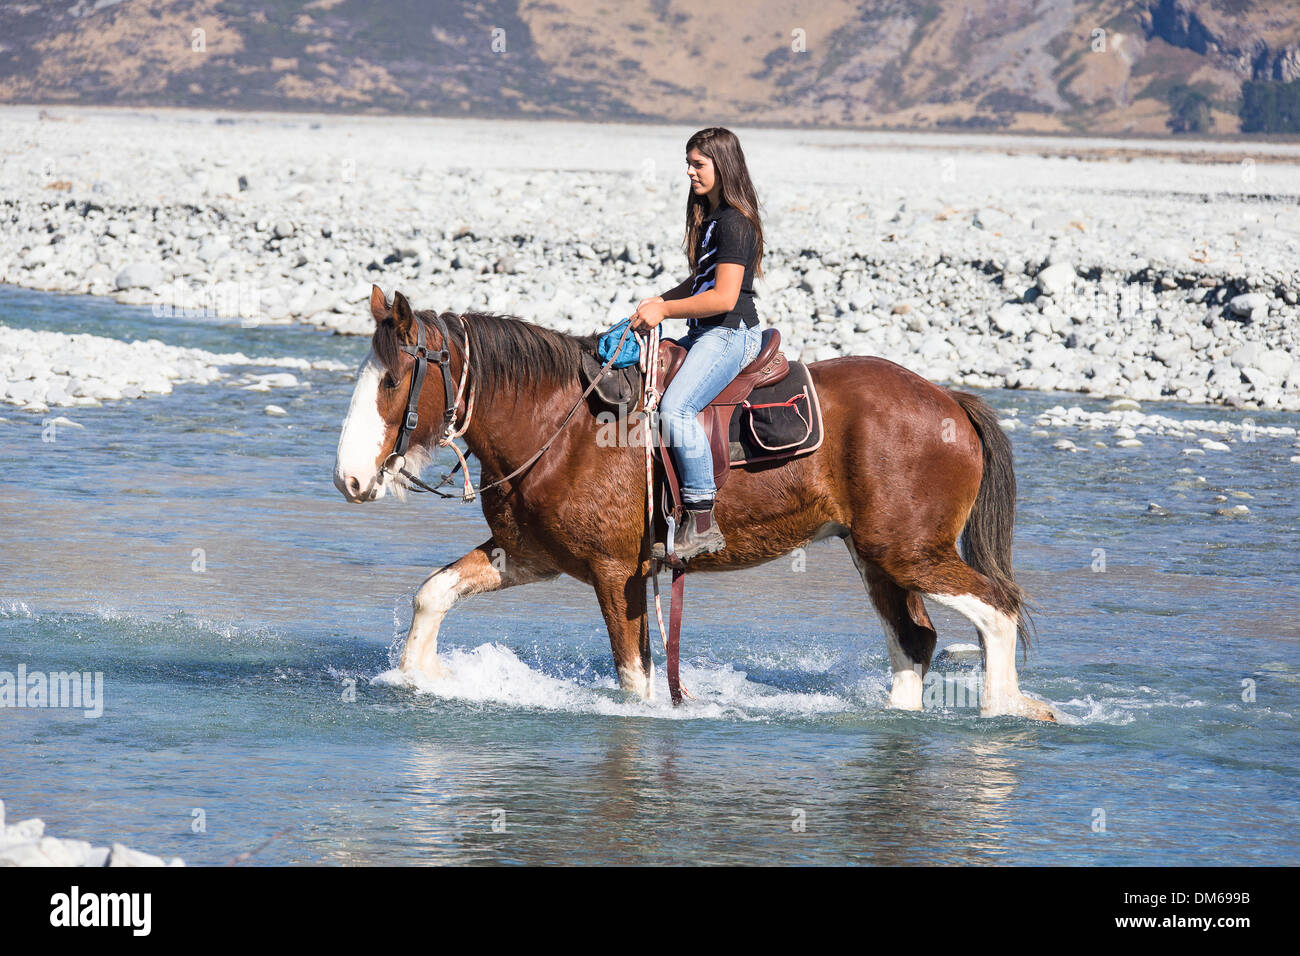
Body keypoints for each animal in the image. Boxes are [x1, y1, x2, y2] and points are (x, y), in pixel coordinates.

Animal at [333, 286, 1056, 721]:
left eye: (394, 380)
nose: (349, 480)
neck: (560, 424)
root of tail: (948, 401)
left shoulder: (616, 572)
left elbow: (634, 680)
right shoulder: (530, 555)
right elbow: (434, 593)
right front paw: (423, 678)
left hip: (909, 552)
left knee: (996, 608)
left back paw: (1009, 711)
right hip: (878, 558)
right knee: (914, 640)